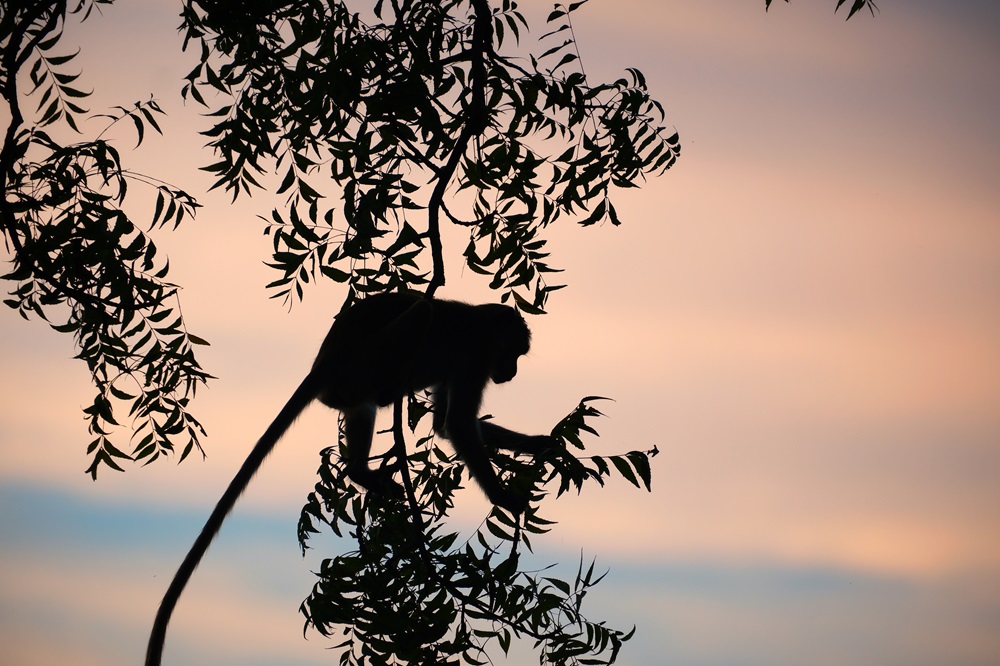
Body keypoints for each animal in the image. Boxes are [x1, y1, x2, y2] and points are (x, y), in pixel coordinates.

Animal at [146, 291, 551, 666]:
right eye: (514, 354)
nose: (513, 372)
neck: (482, 324)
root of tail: (321, 365)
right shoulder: (475, 355)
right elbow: (458, 426)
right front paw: (504, 499)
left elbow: (443, 426)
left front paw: (538, 444)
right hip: (363, 362)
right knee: (423, 312)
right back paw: (393, 388)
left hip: (350, 381)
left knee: (363, 407)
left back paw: (361, 472)